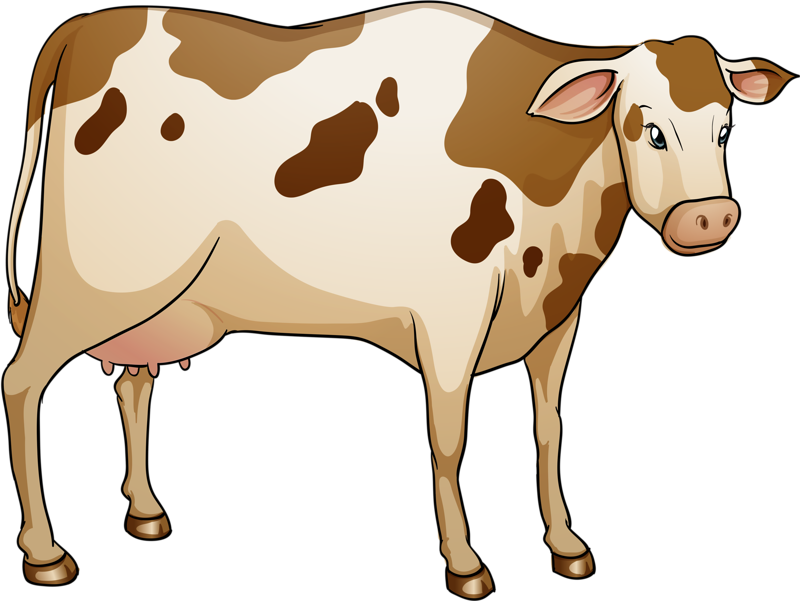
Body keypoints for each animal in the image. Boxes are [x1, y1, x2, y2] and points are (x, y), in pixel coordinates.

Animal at [4, 3, 795, 593]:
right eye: (648, 127)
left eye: (726, 128)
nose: (710, 219)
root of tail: (84, 27)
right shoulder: (450, 317)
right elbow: (448, 439)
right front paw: (466, 564)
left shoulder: (559, 318)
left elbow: (549, 427)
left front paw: (568, 545)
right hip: (91, 282)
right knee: (24, 382)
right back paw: (45, 553)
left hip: (149, 304)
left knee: (132, 383)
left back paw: (145, 512)